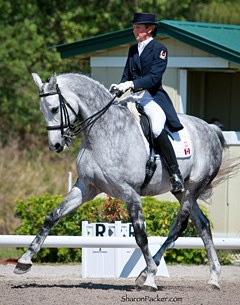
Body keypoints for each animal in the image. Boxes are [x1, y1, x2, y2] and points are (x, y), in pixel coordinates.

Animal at [14, 71, 228, 290]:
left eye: (55, 108)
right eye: (42, 110)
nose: (56, 145)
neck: (101, 133)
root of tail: (210, 128)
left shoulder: (130, 192)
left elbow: (140, 235)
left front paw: (151, 277)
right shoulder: (86, 187)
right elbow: (53, 216)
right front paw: (24, 261)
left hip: (192, 188)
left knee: (179, 225)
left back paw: (147, 274)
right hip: (181, 190)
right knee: (202, 224)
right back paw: (213, 278)